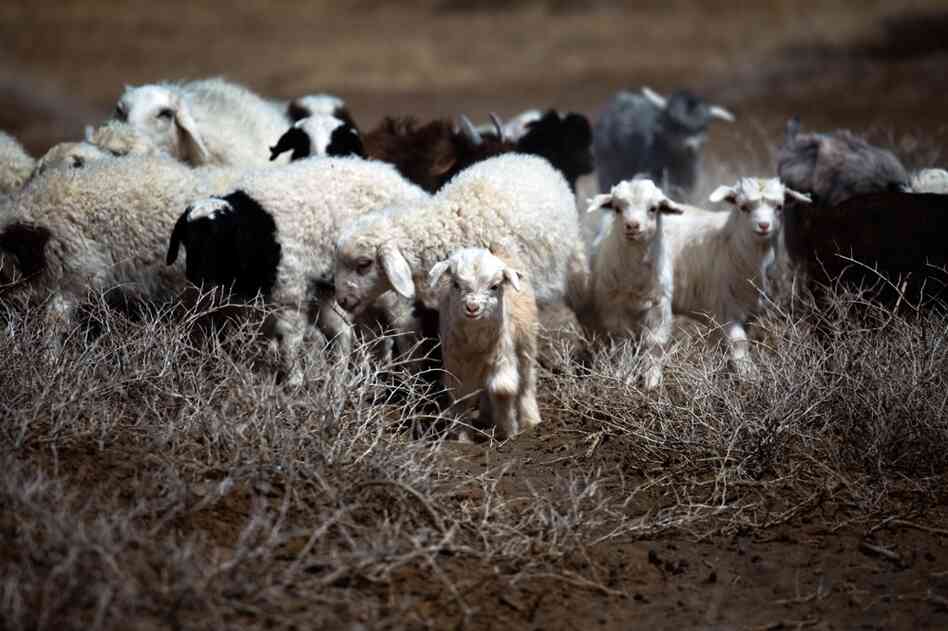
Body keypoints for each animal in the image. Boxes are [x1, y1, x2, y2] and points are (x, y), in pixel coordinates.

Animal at [165, 156, 430, 385]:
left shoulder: (290, 292)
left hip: (390, 289)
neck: (258, 231)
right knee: (366, 335)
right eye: (186, 240)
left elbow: (289, 338)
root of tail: (410, 187)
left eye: (220, 240)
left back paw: (408, 379)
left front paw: (293, 380)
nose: (196, 276)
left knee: (406, 330)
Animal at [428, 247, 541, 440]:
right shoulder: (456, 362)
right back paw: (486, 417)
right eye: (456, 284)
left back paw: (530, 421)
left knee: (526, 380)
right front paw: (462, 438)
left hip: (525, 344)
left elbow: (502, 389)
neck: (476, 341)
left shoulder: (502, 354)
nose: (472, 308)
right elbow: (461, 396)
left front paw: (508, 432)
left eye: (494, 286)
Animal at [582, 179, 689, 389]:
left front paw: (651, 379)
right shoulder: (614, 306)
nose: (632, 225)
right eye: (617, 208)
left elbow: (654, 342)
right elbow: (622, 341)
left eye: (653, 208)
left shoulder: (658, 307)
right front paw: (623, 374)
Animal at [663, 177, 811, 375]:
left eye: (779, 207)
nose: (764, 226)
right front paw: (750, 375)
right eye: (743, 207)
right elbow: (739, 343)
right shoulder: (726, 309)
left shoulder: (744, 311)